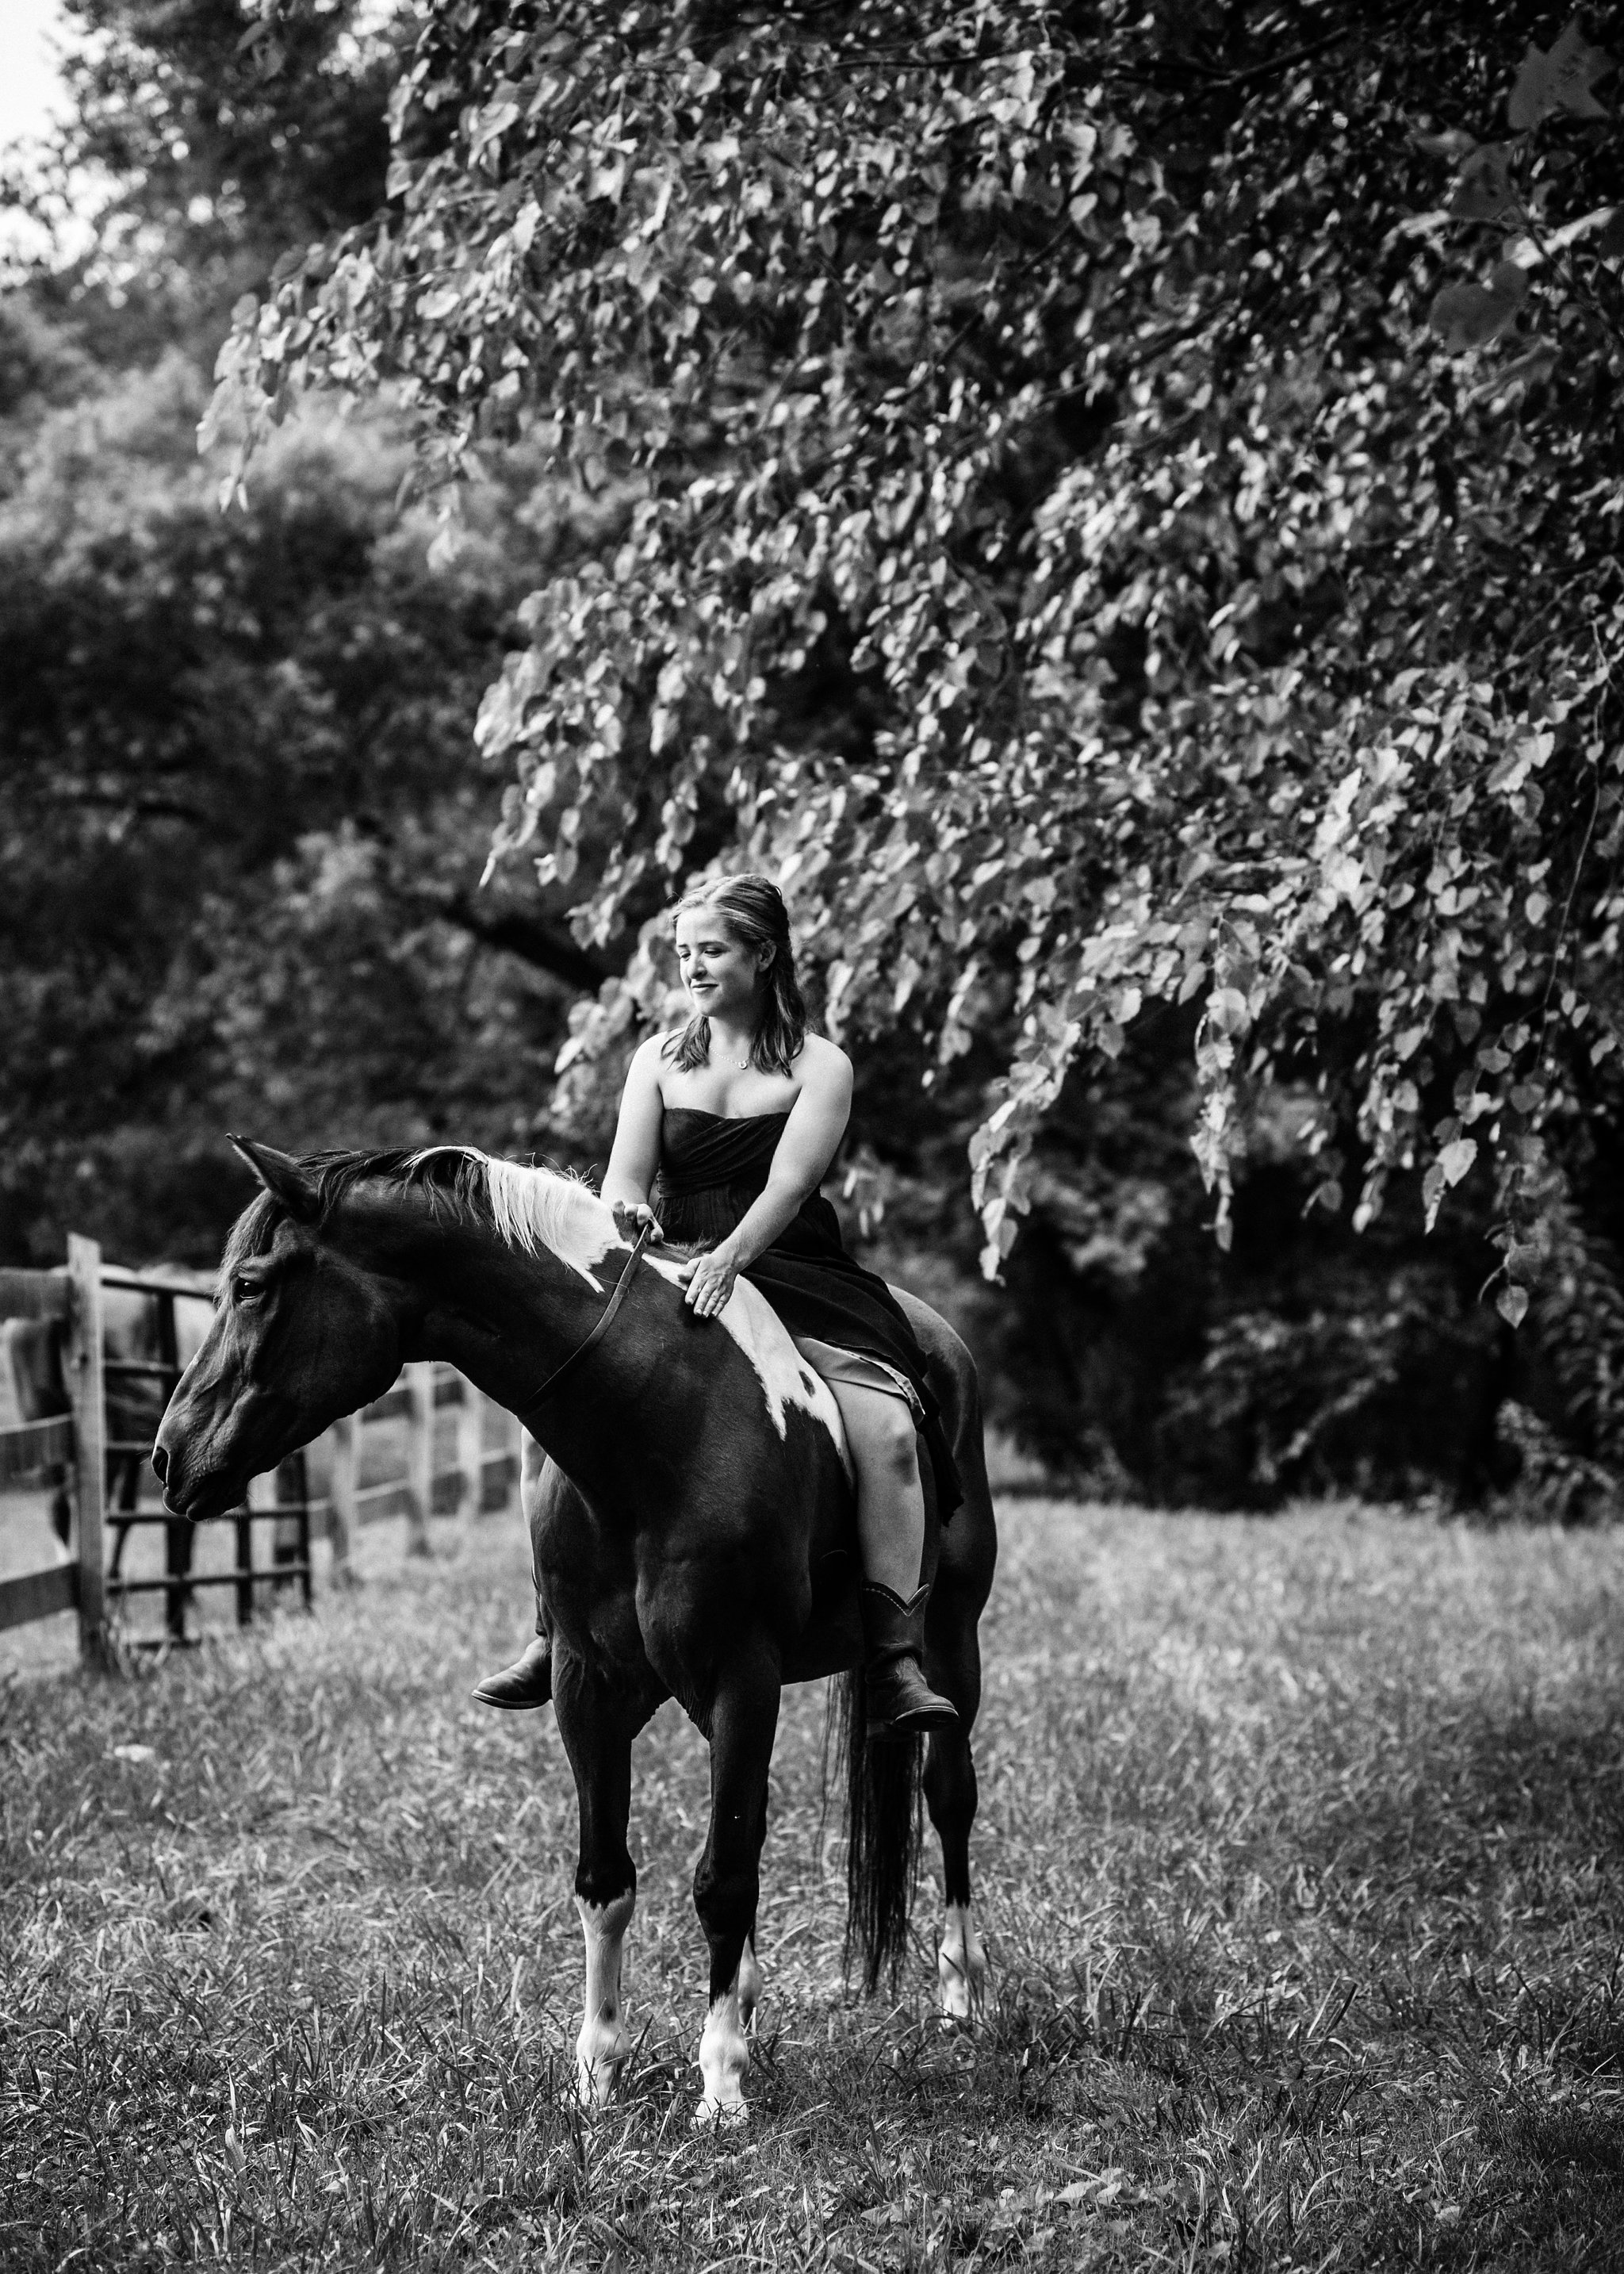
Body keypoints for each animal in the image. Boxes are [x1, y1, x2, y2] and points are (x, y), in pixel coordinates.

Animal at [155, 1145, 986, 2119]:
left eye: (250, 1285)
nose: (170, 1455)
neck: (659, 1419)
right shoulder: (587, 1687)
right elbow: (607, 1880)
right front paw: (596, 2074)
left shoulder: (740, 1674)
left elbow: (722, 1878)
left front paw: (720, 2086)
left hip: (951, 1643)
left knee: (947, 1796)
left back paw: (960, 1996)